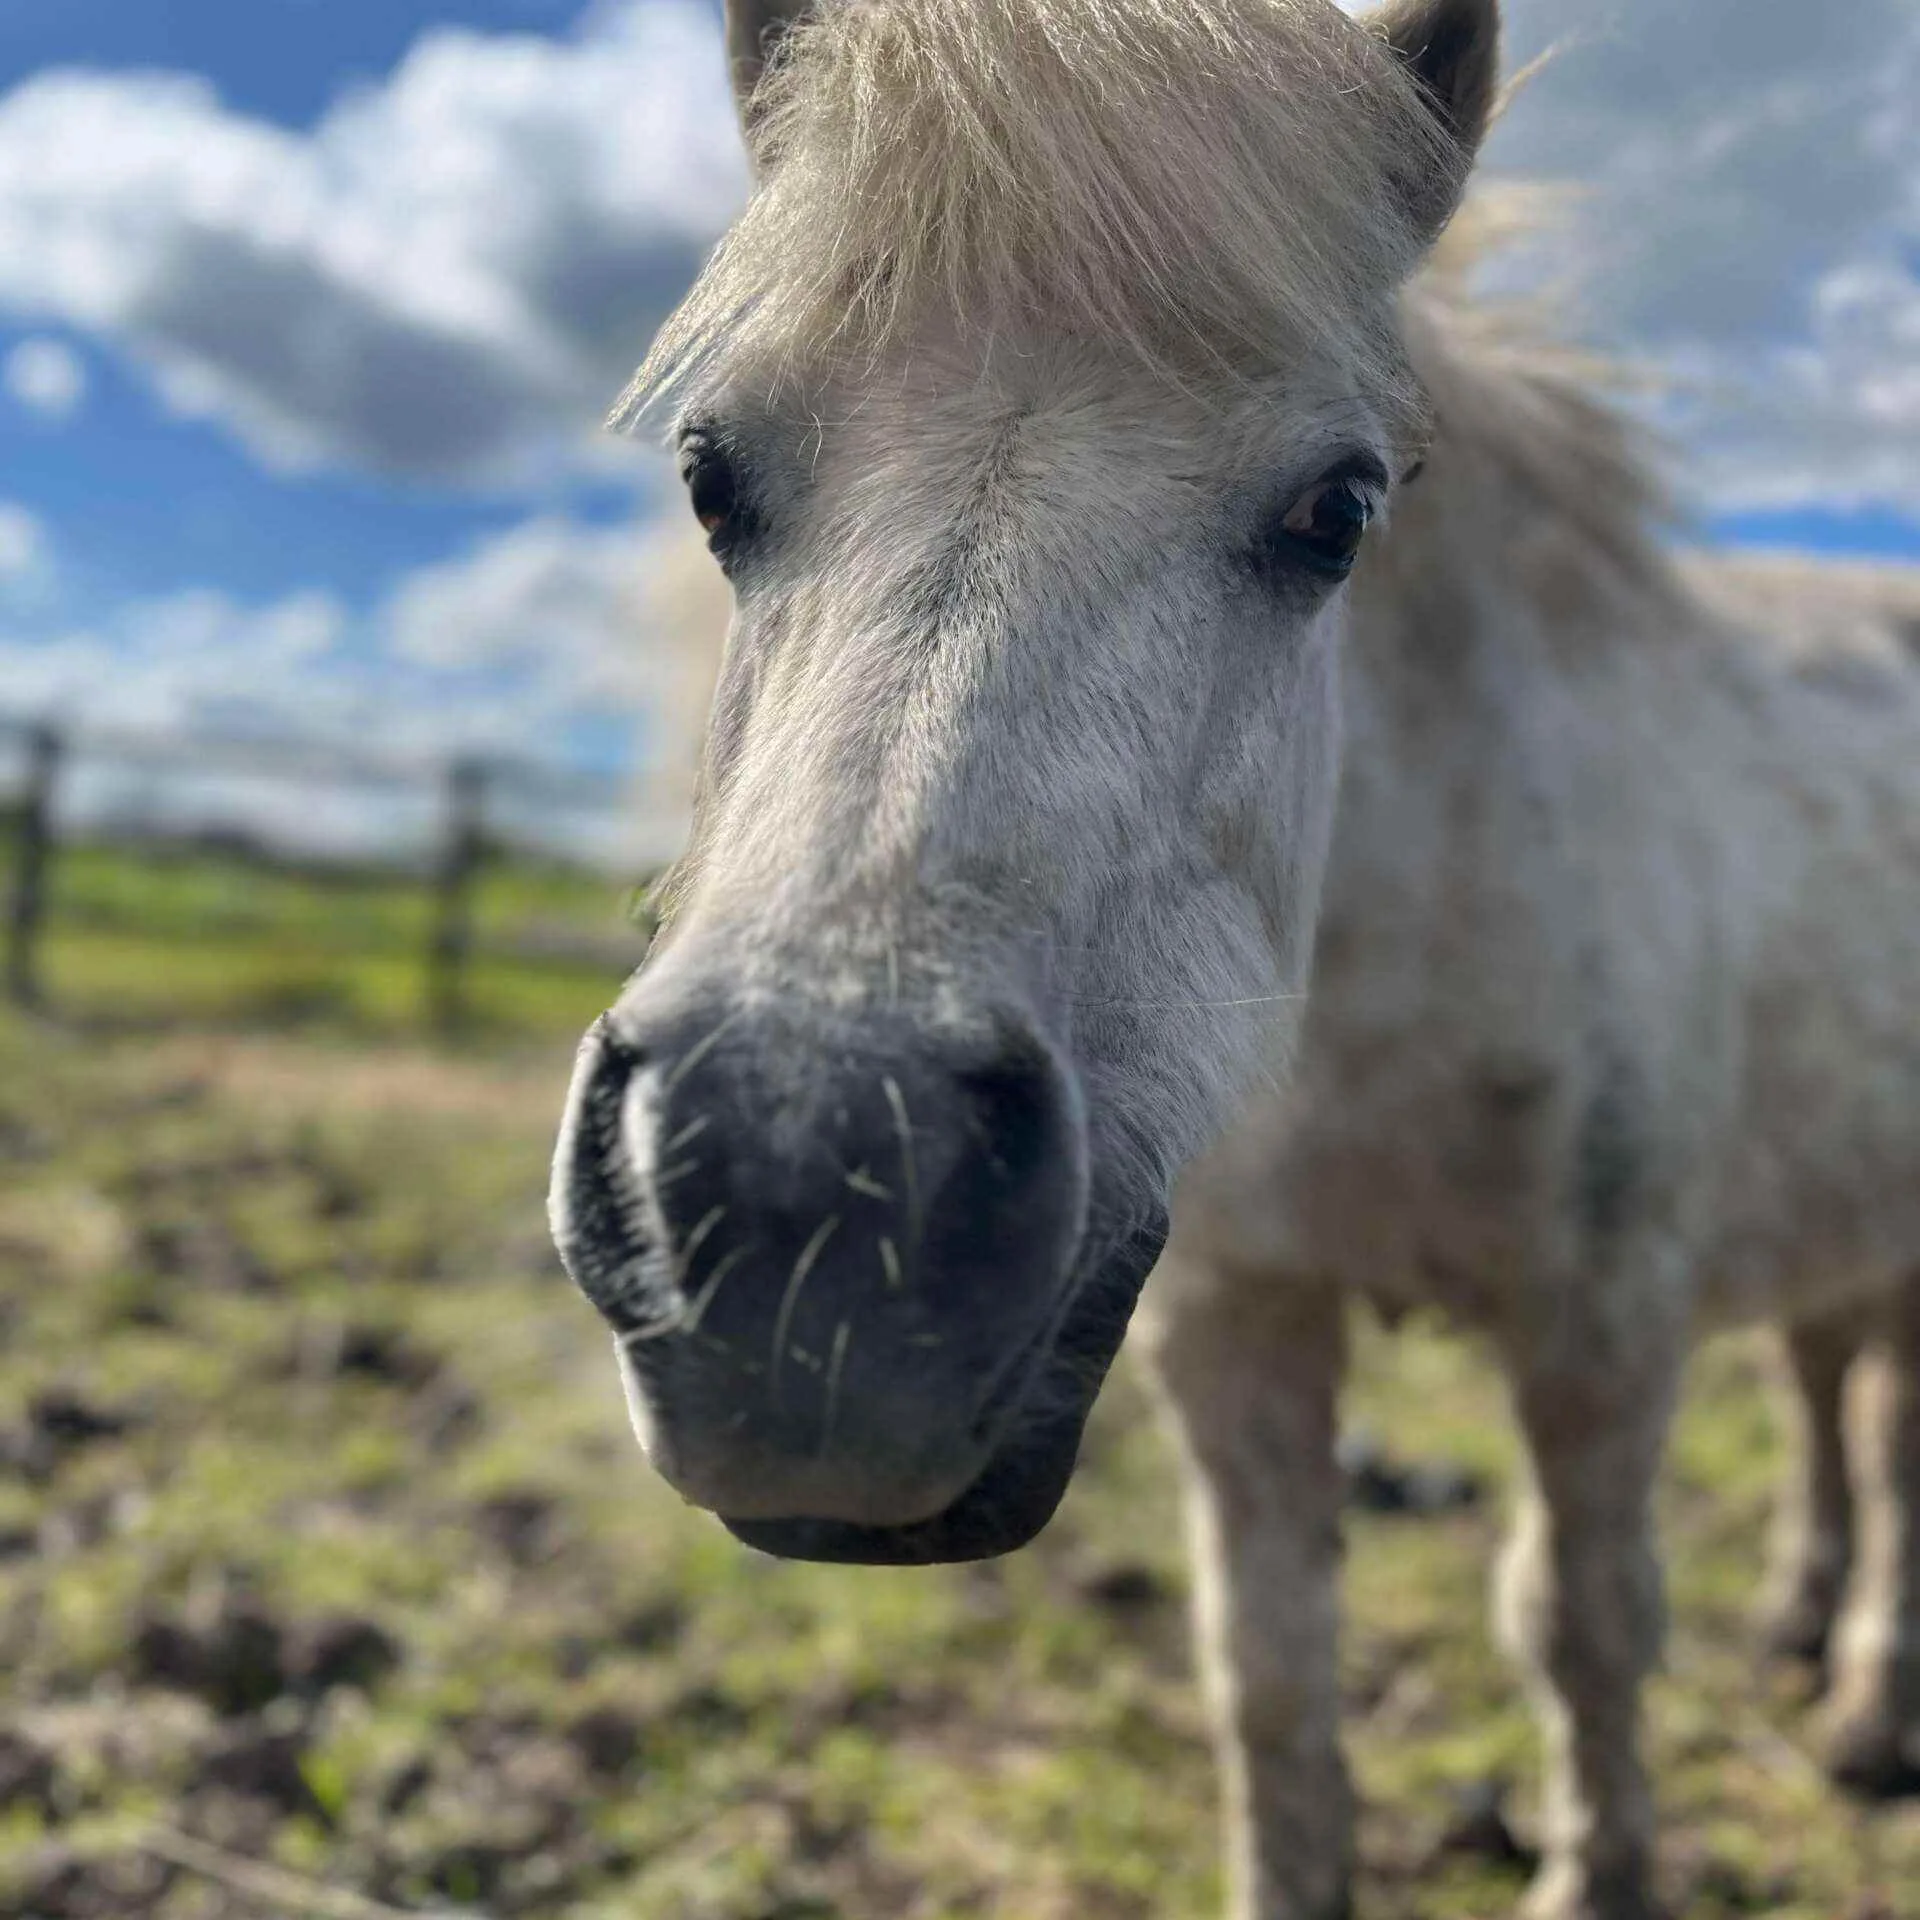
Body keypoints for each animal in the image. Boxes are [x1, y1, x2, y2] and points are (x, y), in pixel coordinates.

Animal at [548, 2, 1920, 1914]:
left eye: (1338, 512)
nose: (805, 1202)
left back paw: (1865, 1709)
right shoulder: (1233, 1327)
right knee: (1822, 1393)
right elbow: (1266, 1674)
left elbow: (1583, 1635)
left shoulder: (1604, 1325)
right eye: (710, 479)